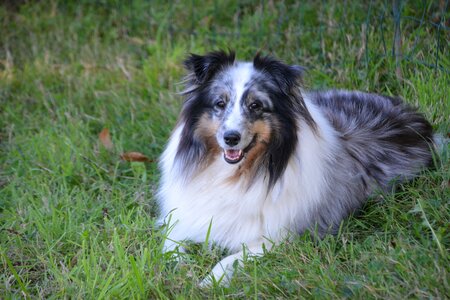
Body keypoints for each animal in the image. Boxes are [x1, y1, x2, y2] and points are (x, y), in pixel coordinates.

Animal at [157, 50, 436, 284]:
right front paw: (178, 267)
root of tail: (419, 121)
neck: (238, 173)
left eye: (256, 105)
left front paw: (208, 281)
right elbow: (170, 246)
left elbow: (230, 259)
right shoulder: (185, 219)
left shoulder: (279, 238)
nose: (231, 138)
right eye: (220, 103)